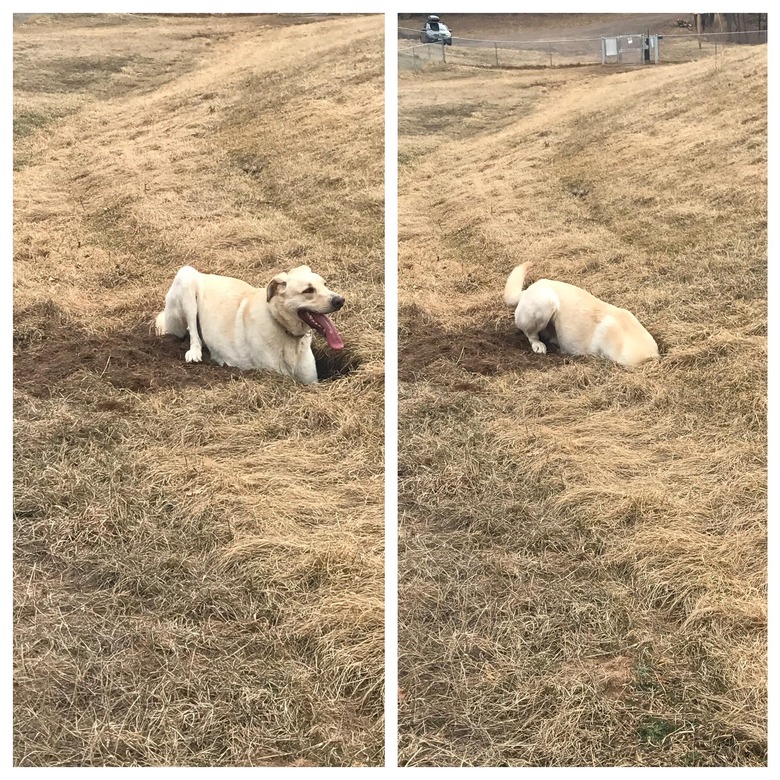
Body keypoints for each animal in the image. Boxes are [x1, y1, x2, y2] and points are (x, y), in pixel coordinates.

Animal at [154, 264, 342, 382]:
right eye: (308, 290)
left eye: (325, 284)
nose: (340, 300)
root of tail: (204, 275)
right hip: (186, 278)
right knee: (193, 332)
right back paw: (195, 353)